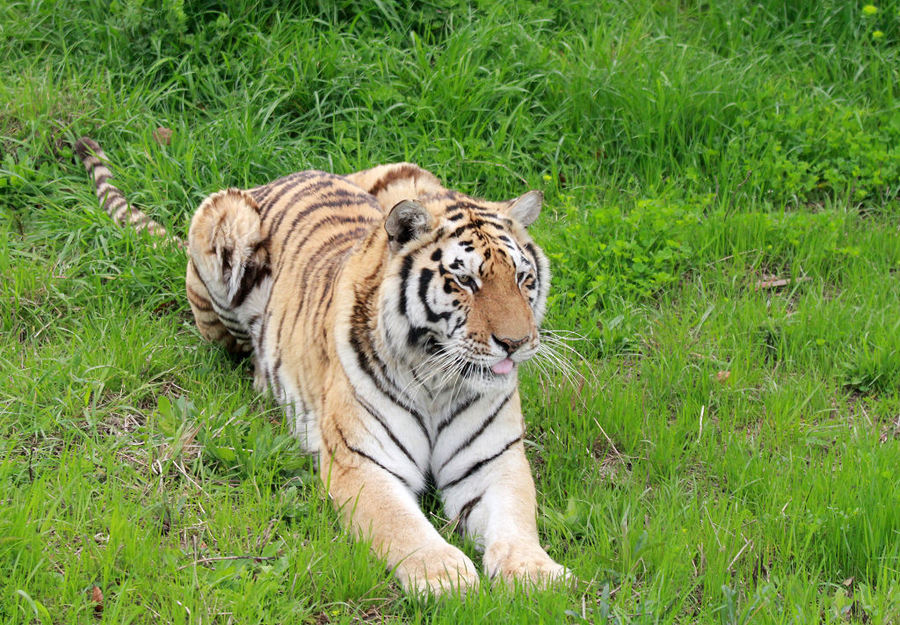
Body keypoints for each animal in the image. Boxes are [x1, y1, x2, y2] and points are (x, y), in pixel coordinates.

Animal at [77, 136, 568, 596]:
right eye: (465, 280)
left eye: (523, 278)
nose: (516, 344)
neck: (438, 380)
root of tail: (286, 176)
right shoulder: (363, 464)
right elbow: (402, 526)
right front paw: (445, 576)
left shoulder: (494, 460)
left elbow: (516, 520)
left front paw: (536, 574)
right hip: (222, 221)